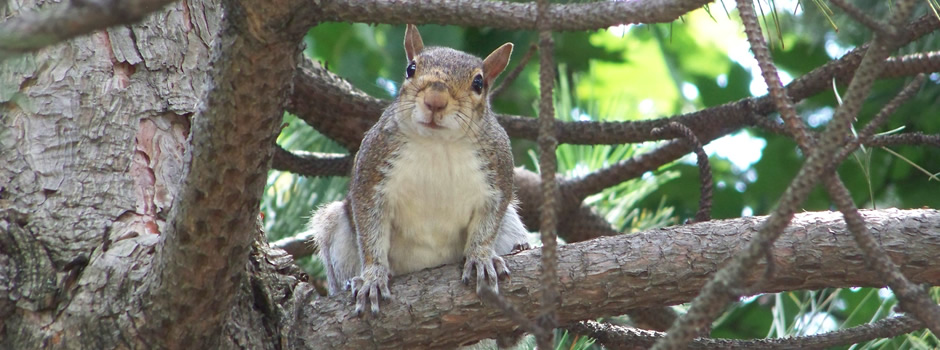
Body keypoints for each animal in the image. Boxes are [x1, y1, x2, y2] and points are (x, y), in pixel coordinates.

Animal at [306, 23, 528, 314]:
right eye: (411, 69)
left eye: (479, 83)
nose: (435, 99)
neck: (437, 143)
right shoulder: (372, 171)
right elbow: (370, 231)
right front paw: (373, 277)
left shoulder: (498, 176)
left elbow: (488, 225)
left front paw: (481, 257)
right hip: (334, 227)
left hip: (511, 222)